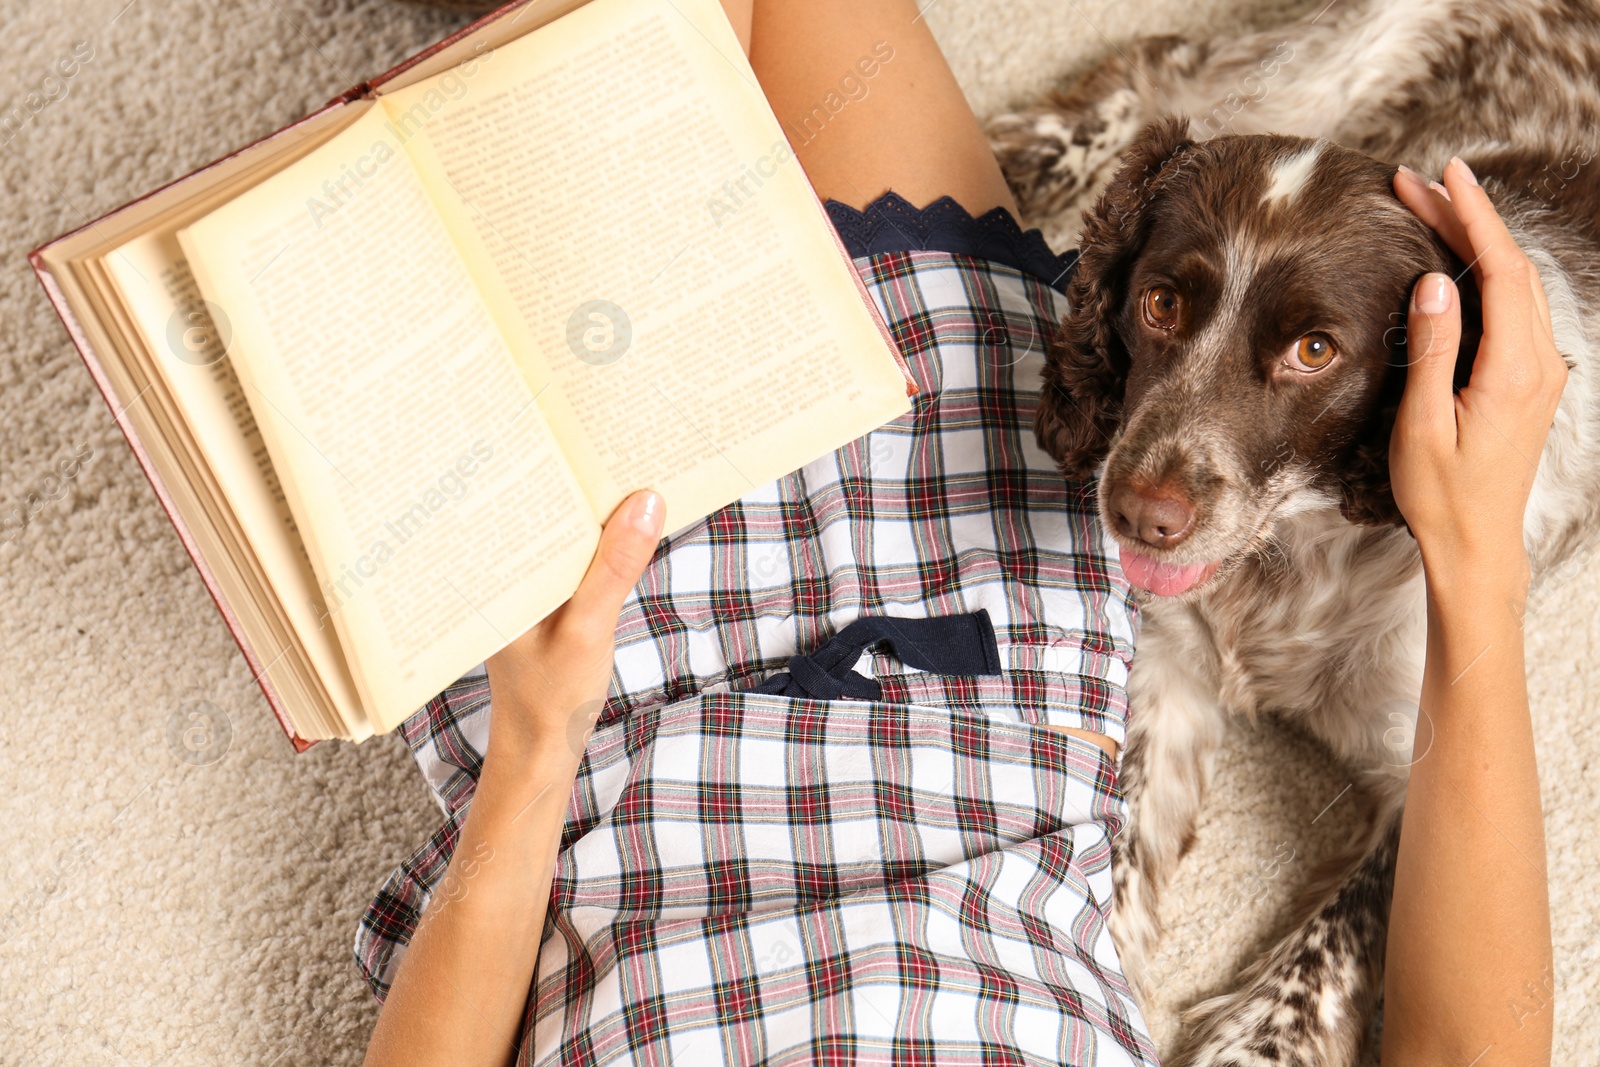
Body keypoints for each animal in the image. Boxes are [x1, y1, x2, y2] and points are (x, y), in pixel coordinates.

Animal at [985, 2, 1600, 1067]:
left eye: (1315, 350)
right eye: (1160, 302)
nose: (1140, 511)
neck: (1290, 550)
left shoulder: (1426, 759)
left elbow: (1338, 936)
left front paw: (1251, 1041)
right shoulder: (1171, 662)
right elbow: (1115, 835)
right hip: (1329, 62)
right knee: (1169, 69)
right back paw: (1038, 148)